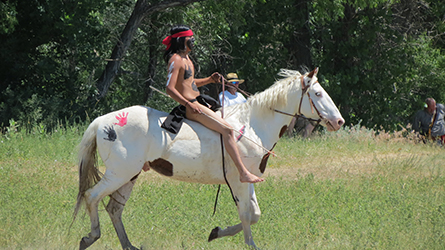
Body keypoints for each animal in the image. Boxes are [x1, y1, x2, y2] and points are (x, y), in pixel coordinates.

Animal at [73, 67, 344, 249]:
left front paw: (216, 232)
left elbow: (254, 214)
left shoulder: (247, 181)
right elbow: (246, 214)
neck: (252, 124)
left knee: (114, 209)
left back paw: (128, 245)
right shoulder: (239, 181)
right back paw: (90, 237)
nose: (339, 121)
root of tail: (102, 121)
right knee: (92, 196)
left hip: (130, 175)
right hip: (119, 173)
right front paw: (249, 243)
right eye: (318, 94)